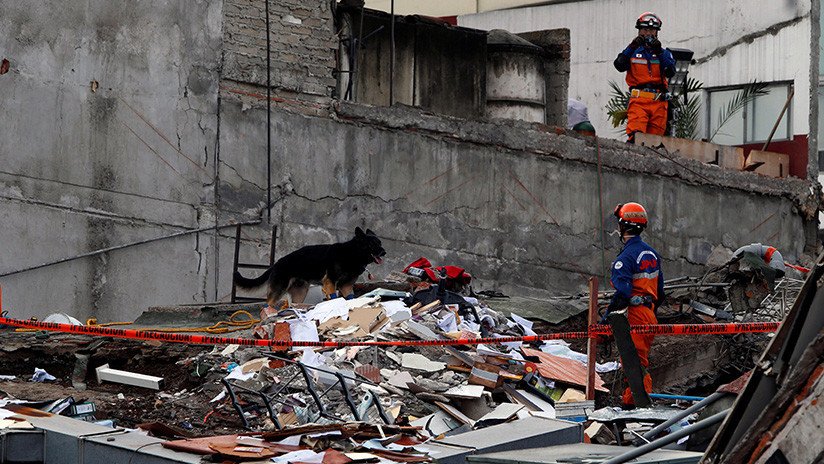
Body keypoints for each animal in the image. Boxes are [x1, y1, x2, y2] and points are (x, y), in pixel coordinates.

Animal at [232, 227, 386, 306]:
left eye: (380, 242)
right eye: (373, 244)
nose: (384, 252)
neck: (352, 253)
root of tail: (277, 263)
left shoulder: (346, 286)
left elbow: (350, 298)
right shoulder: (330, 282)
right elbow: (333, 297)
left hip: (300, 293)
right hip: (279, 289)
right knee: (268, 303)